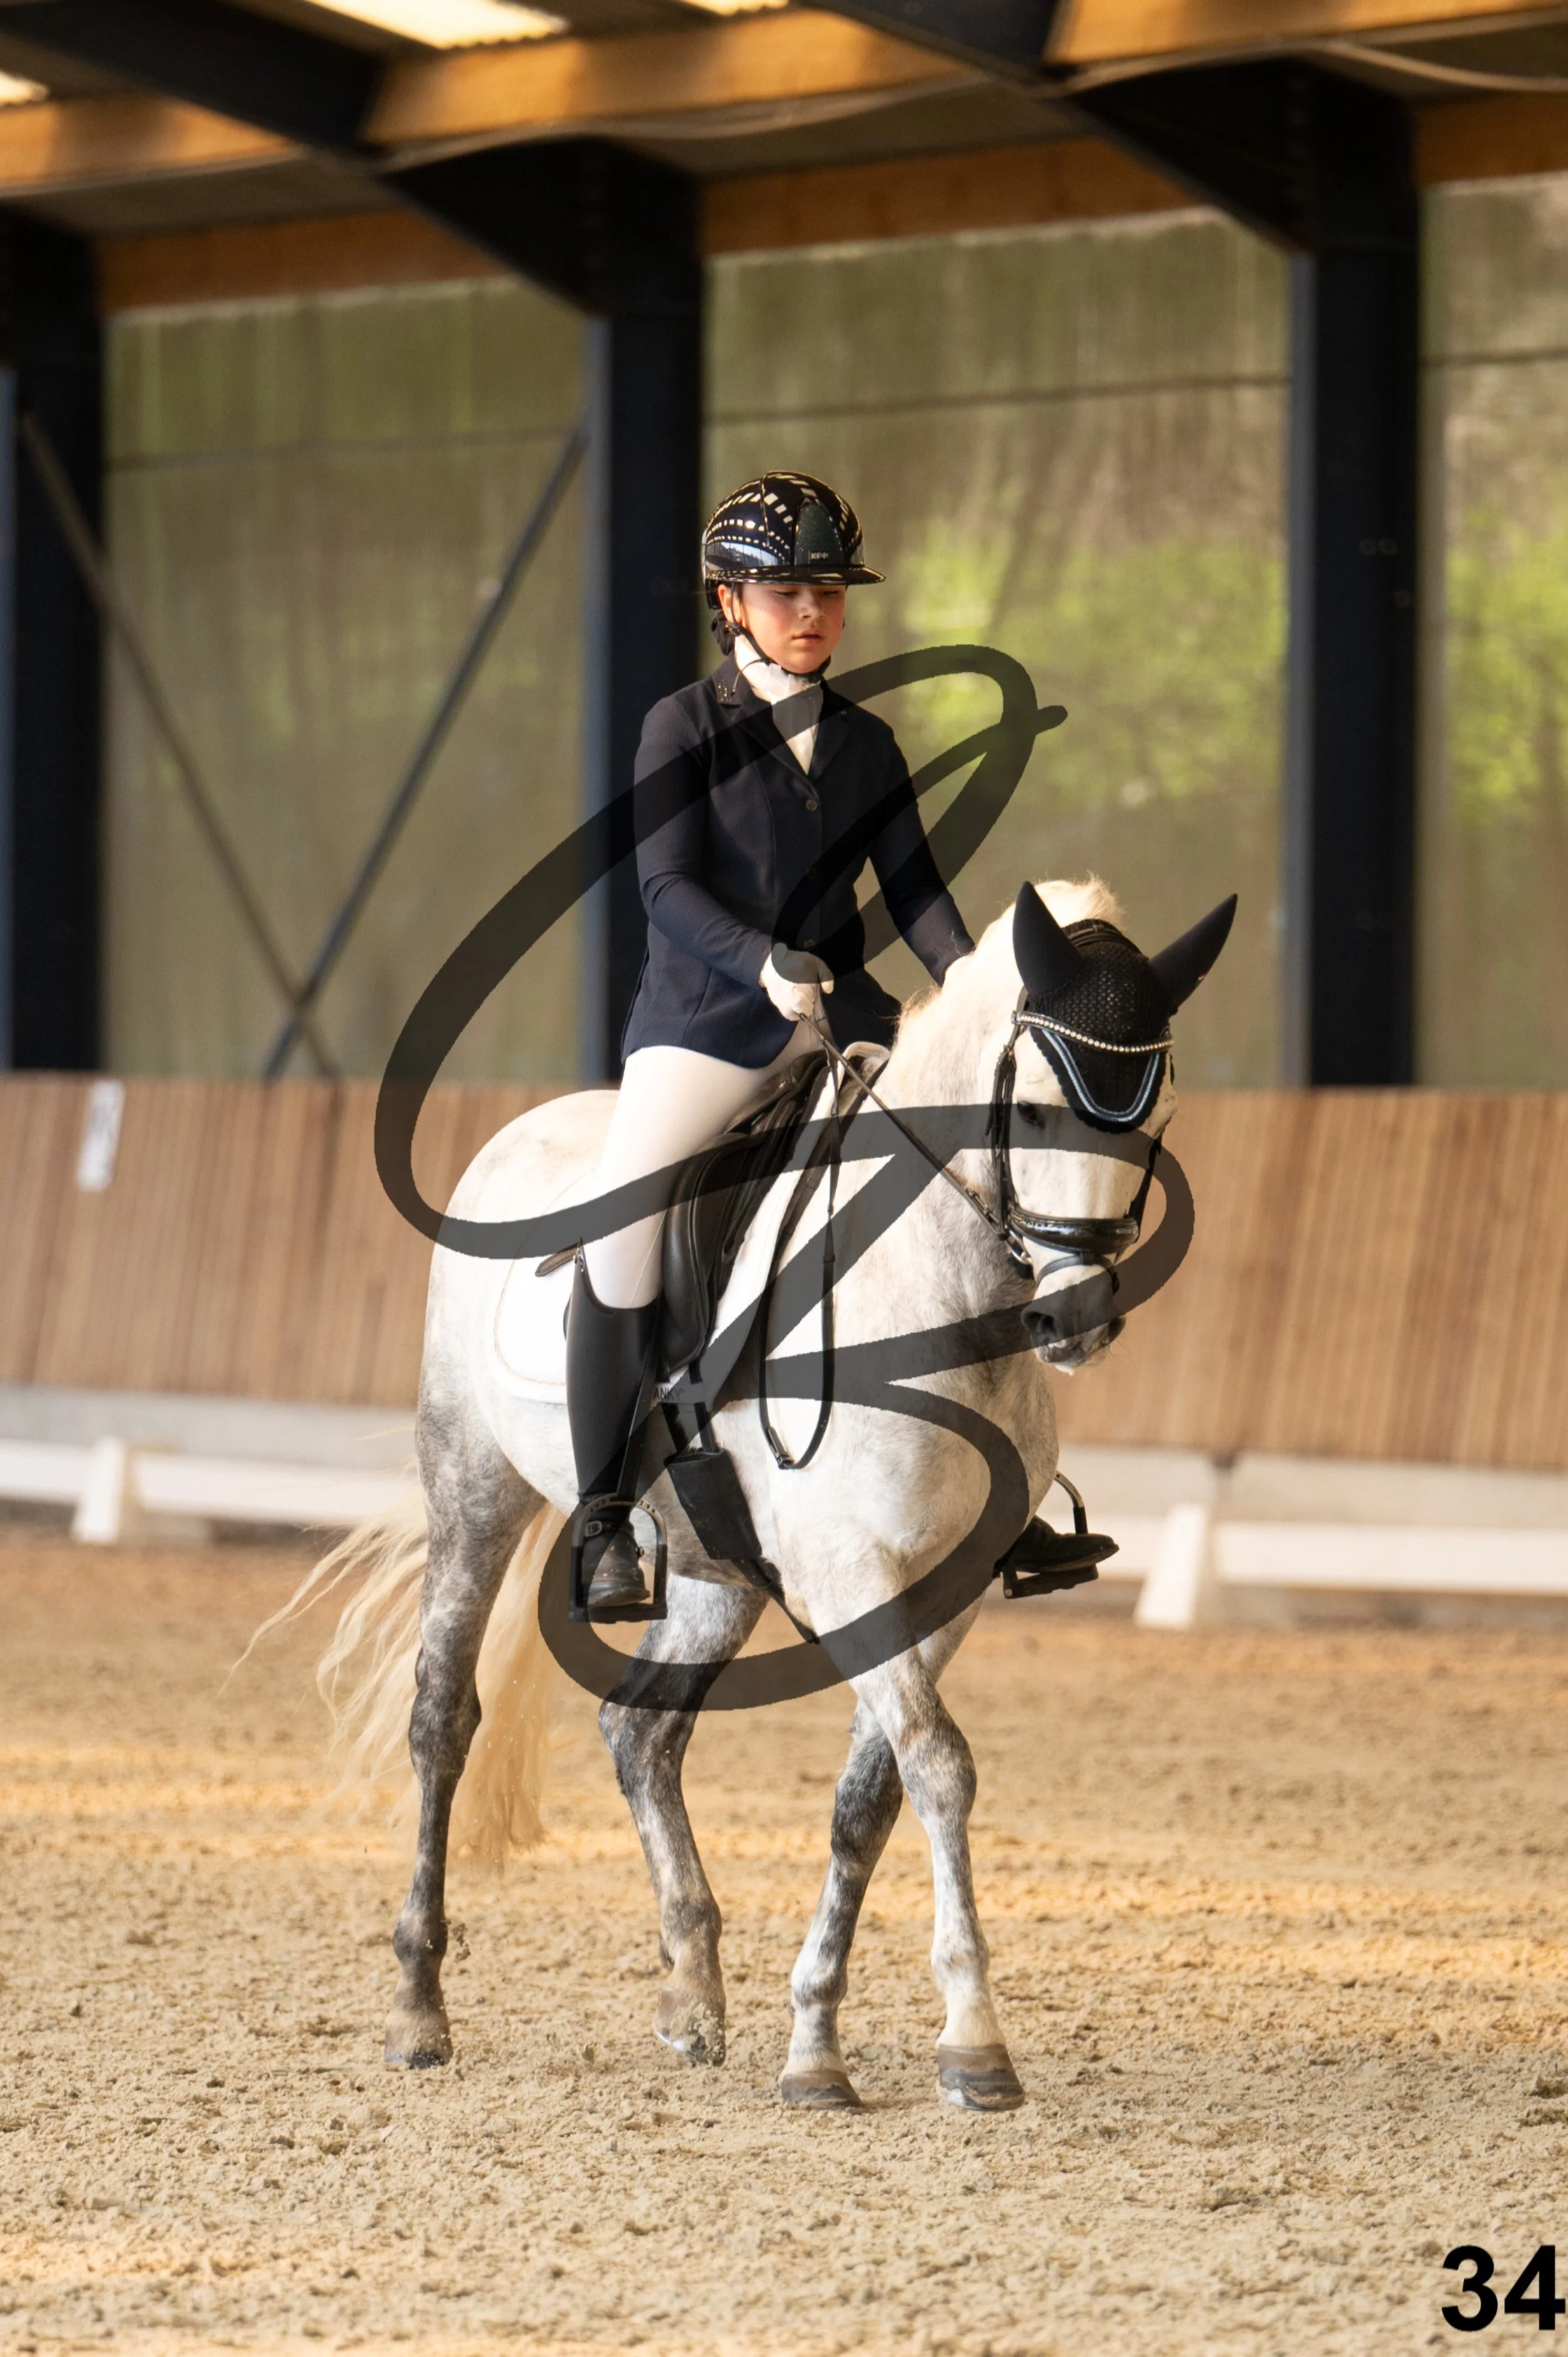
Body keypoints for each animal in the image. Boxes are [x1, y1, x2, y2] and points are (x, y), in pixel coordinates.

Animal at [281, 873, 1232, 2113]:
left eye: (1151, 1114)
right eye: (1029, 1114)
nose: (1075, 1319)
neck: (931, 1294)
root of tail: (519, 1135)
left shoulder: (943, 1589)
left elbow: (871, 1797)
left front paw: (815, 2043)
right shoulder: (851, 1575)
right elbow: (940, 1766)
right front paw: (975, 2042)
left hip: (710, 1567)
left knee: (640, 1731)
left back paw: (692, 1992)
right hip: (473, 1489)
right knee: (444, 1716)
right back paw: (418, 2007)